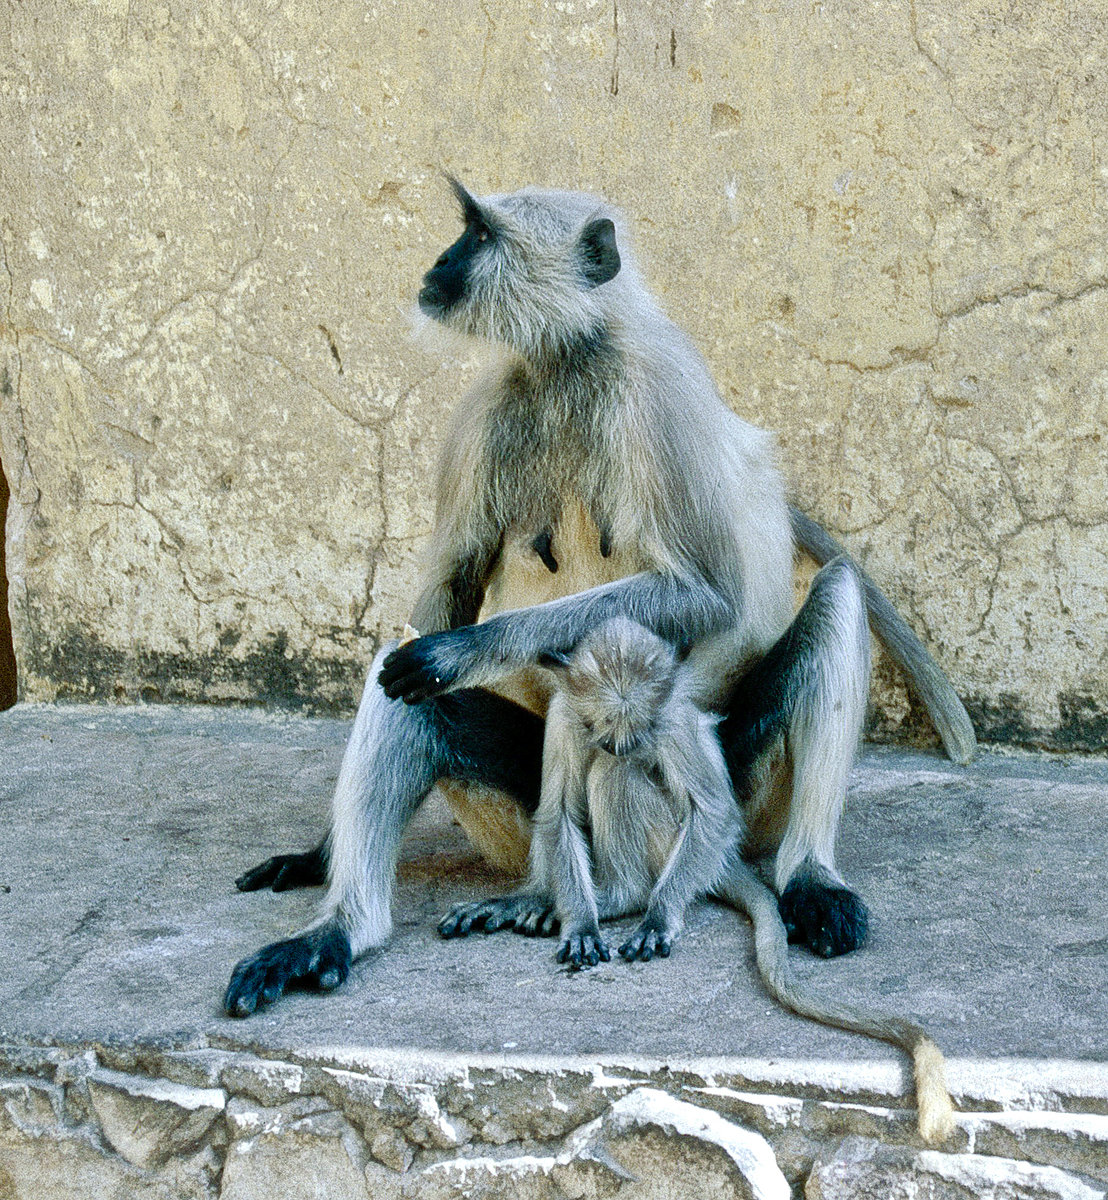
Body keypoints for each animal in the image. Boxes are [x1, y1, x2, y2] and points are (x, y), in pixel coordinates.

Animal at [223, 177, 969, 1017]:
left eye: (479, 235)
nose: (440, 262)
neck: (570, 359)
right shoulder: (488, 407)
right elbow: (446, 589)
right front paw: (321, 858)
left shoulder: (659, 390)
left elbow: (706, 597)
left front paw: (470, 649)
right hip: (523, 813)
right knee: (404, 678)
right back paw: (351, 930)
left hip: (739, 794)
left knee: (836, 589)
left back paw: (806, 876)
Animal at [458, 609, 955, 1142]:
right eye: (599, 724)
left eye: (638, 727)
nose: (616, 743)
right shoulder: (568, 715)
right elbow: (558, 814)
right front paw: (580, 923)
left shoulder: (669, 719)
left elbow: (712, 810)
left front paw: (656, 919)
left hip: (673, 842)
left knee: (621, 773)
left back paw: (625, 894)